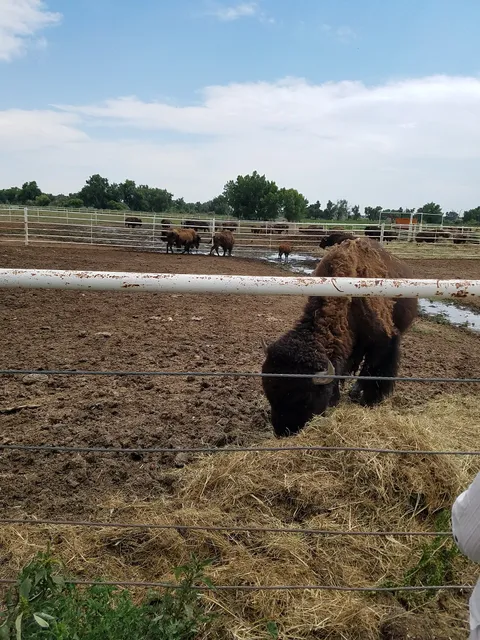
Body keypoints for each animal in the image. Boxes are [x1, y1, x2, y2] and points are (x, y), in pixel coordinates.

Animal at [261, 238, 418, 437]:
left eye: (305, 398)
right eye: (269, 393)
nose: (283, 431)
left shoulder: (384, 342)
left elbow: (373, 370)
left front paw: (369, 400)